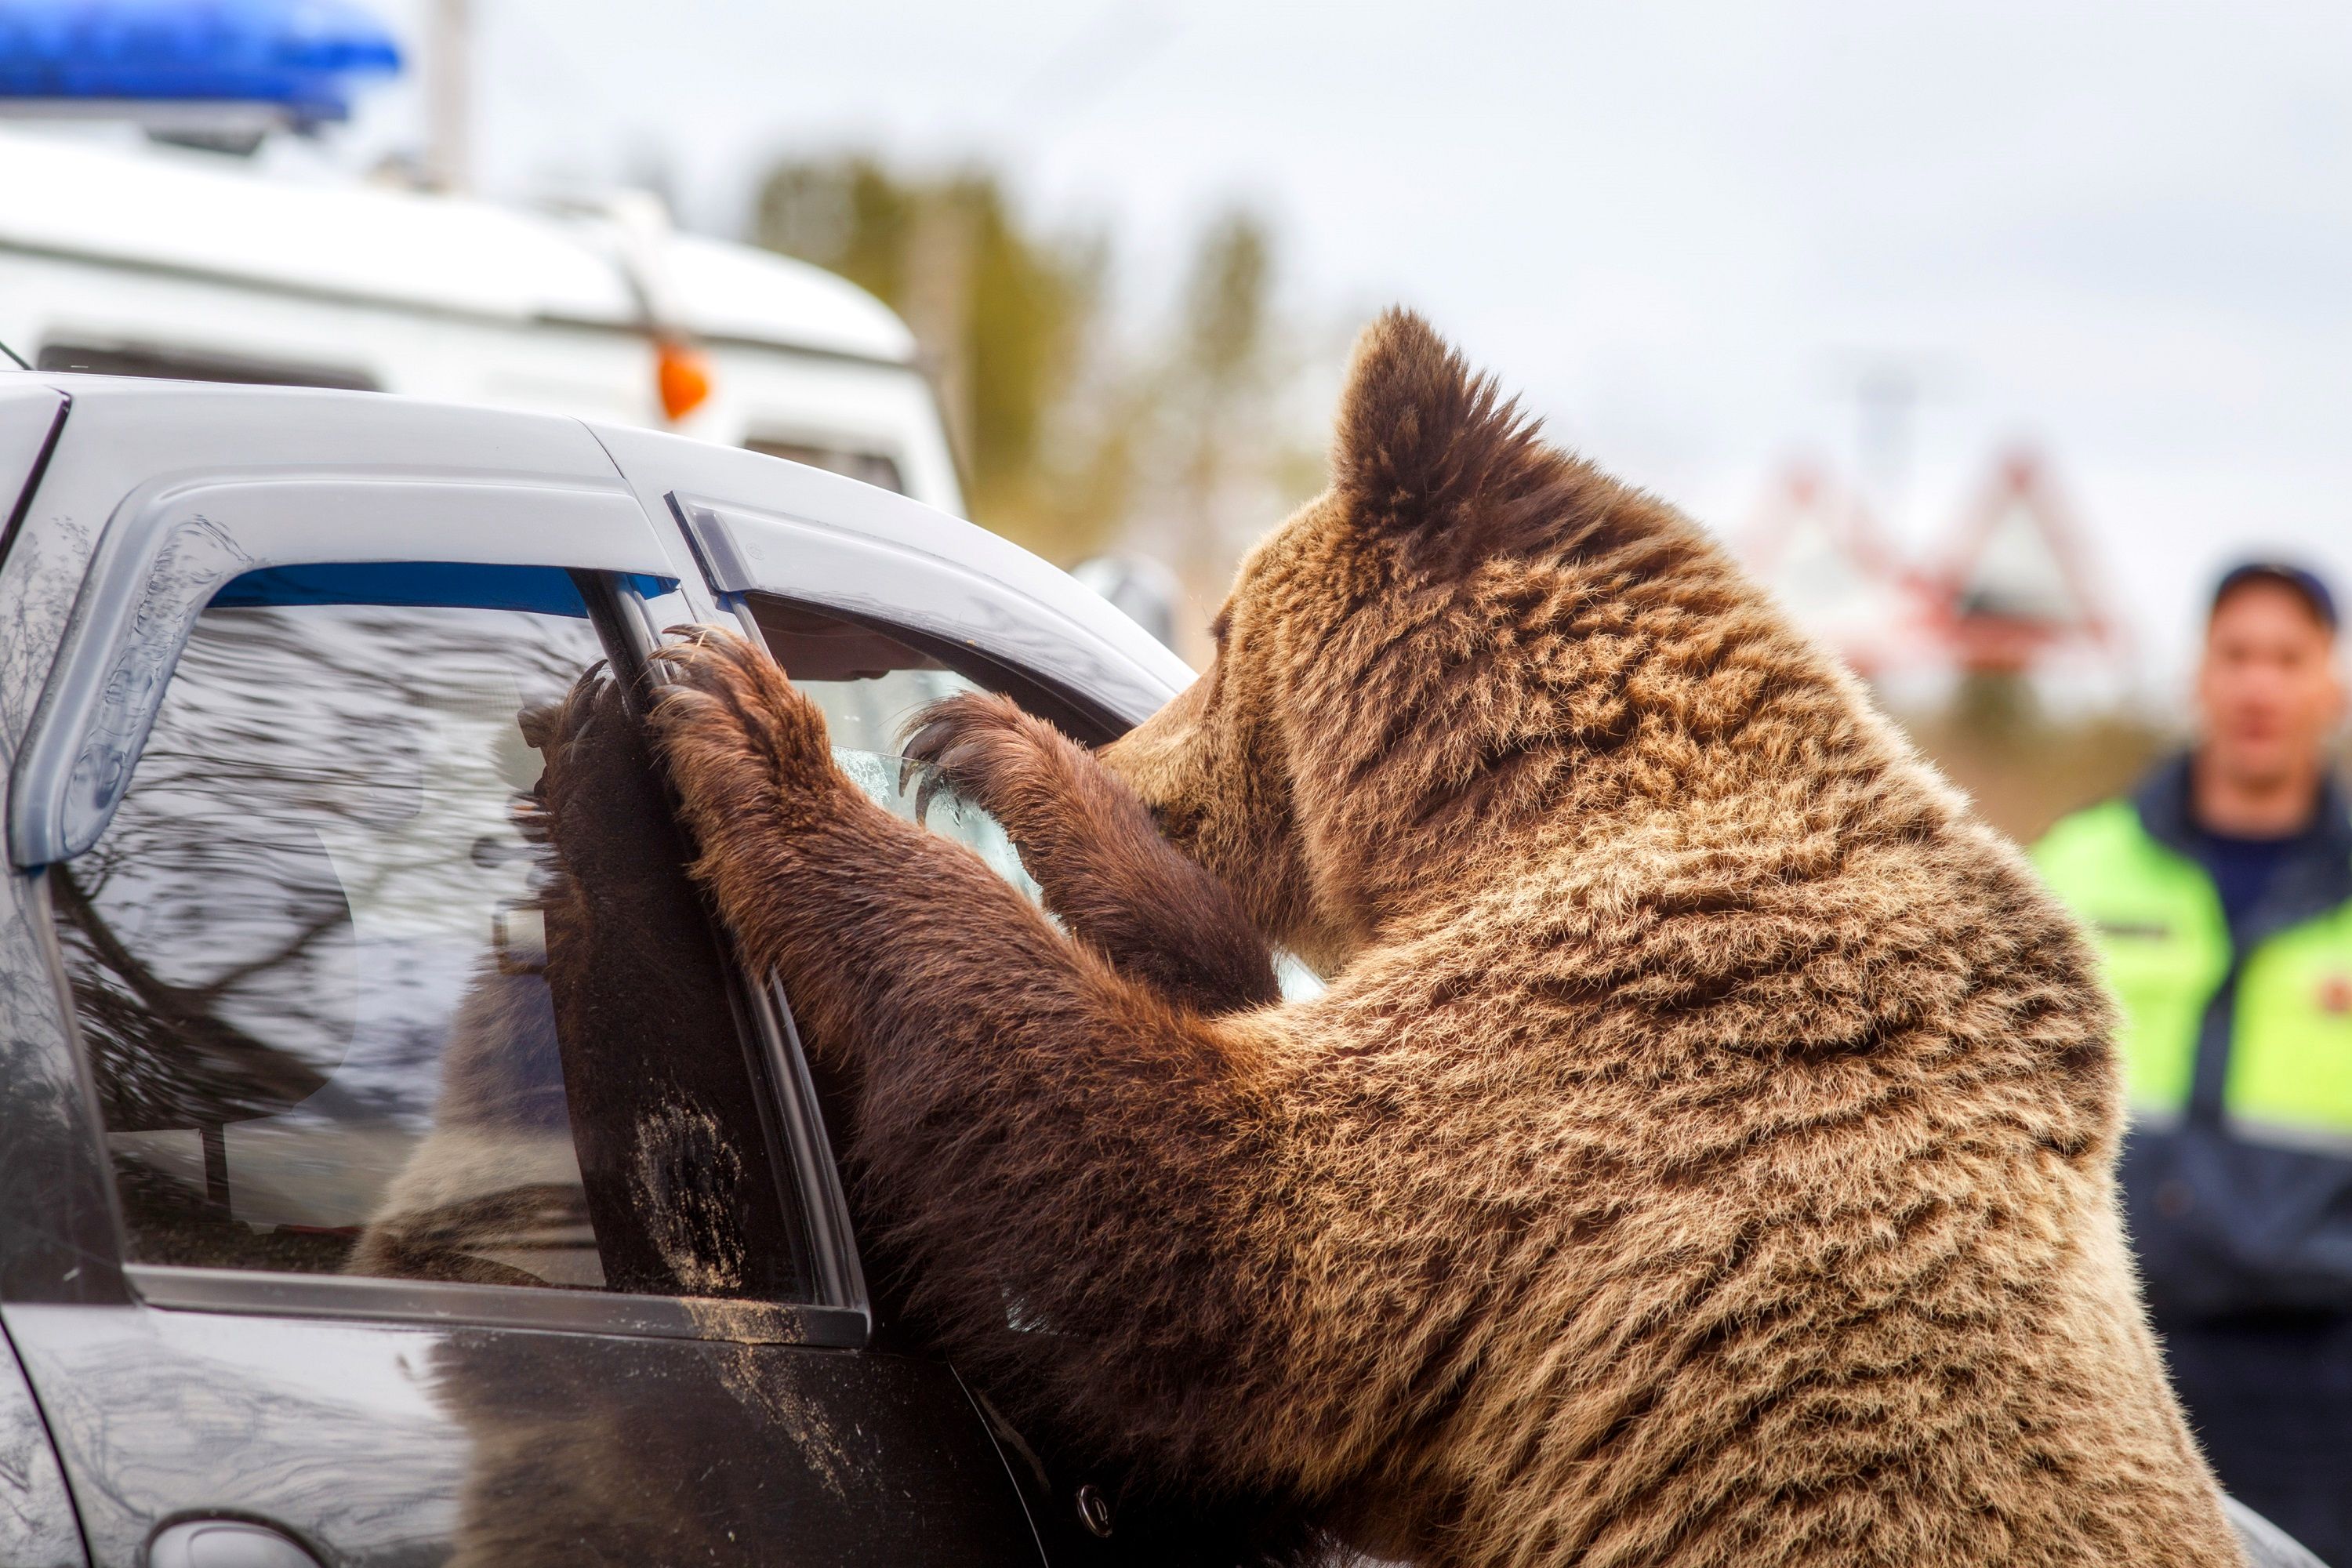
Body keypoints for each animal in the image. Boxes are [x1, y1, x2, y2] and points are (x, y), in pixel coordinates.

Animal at [644, 310, 2239, 1568]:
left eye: (1220, 628)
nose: (1140, 760)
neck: (1517, 816)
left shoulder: (1611, 1060)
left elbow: (1201, 1221)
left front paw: (775, 733)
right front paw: (1027, 776)